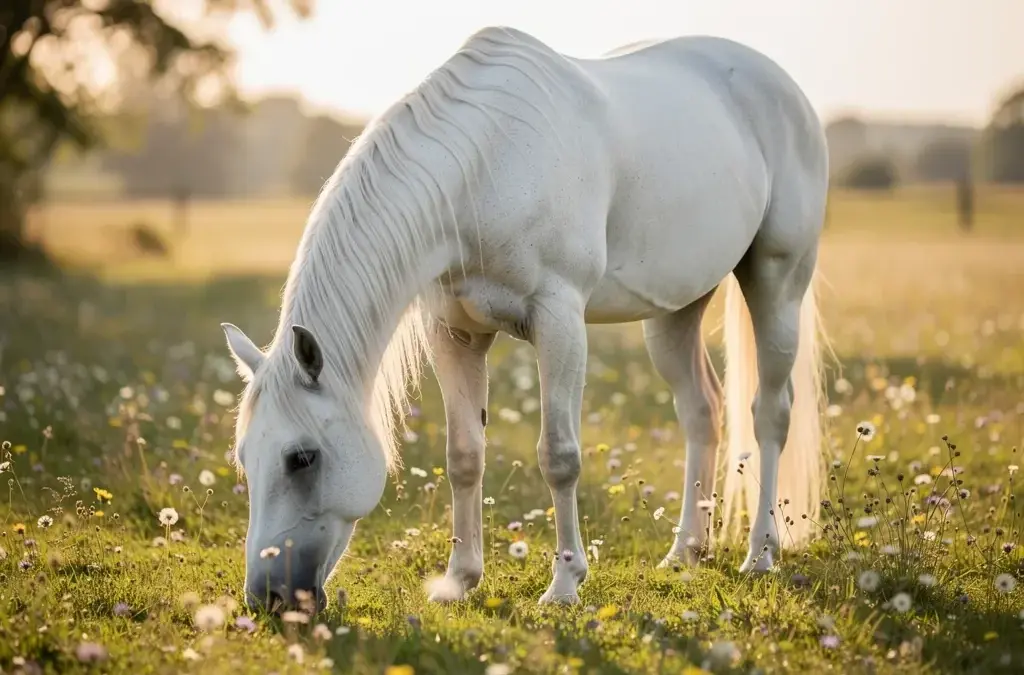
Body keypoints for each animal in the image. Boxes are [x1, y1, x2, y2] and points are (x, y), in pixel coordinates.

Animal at [220, 26, 830, 611]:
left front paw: (564, 585)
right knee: (702, 412)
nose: (268, 598)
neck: (485, 165)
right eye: (246, 458)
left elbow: (558, 456)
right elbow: (464, 455)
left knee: (770, 414)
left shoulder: (559, 322)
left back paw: (760, 554)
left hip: (777, 282)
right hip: (675, 311)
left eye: (302, 458)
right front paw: (459, 580)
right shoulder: (456, 334)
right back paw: (684, 552)